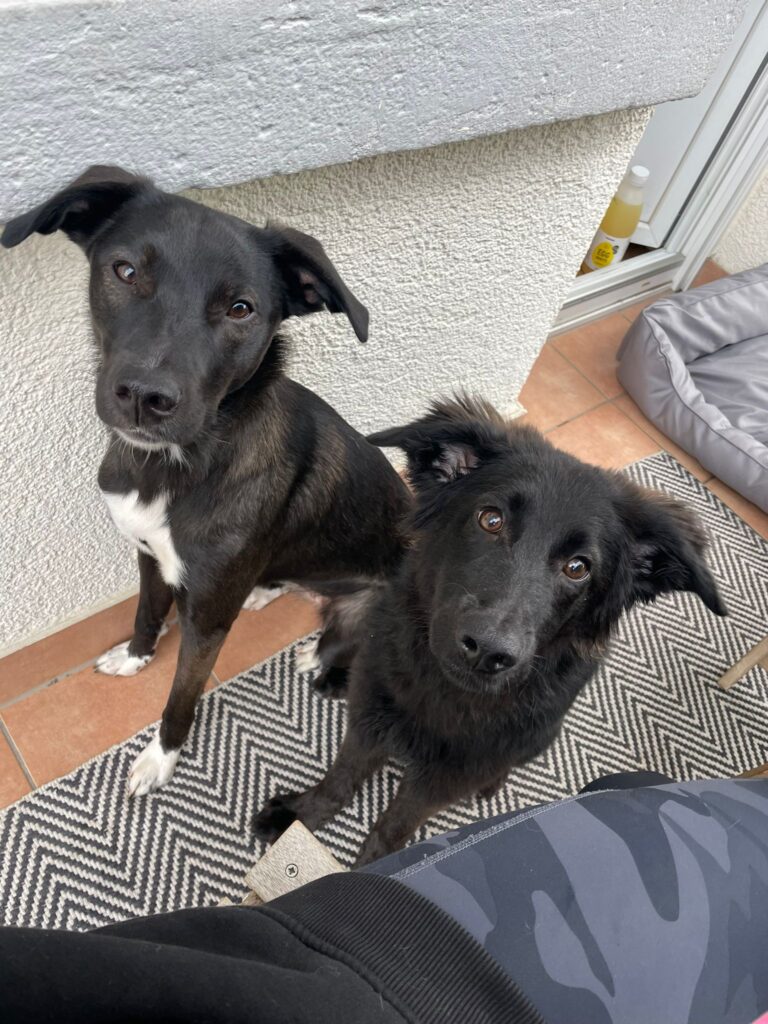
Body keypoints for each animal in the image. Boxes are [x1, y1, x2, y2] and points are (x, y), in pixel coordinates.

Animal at [2, 165, 410, 796]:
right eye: (125, 270)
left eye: (241, 308)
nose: (145, 397)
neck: (174, 466)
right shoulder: (148, 553)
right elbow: (146, 612)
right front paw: (135, 658)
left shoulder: (209, 618)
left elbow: (182, 696)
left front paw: (160, 758)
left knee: (346, 641)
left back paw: (315, 653)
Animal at [255, 396, 727, 865]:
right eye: (490, 520)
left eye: (578, 568)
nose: (487, 651)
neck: (442, 693)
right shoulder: (369, 719)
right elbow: (341, 777)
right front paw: (298, 819)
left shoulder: (446, 777)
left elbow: (395, 825)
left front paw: (377, 866)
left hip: (538, 738)